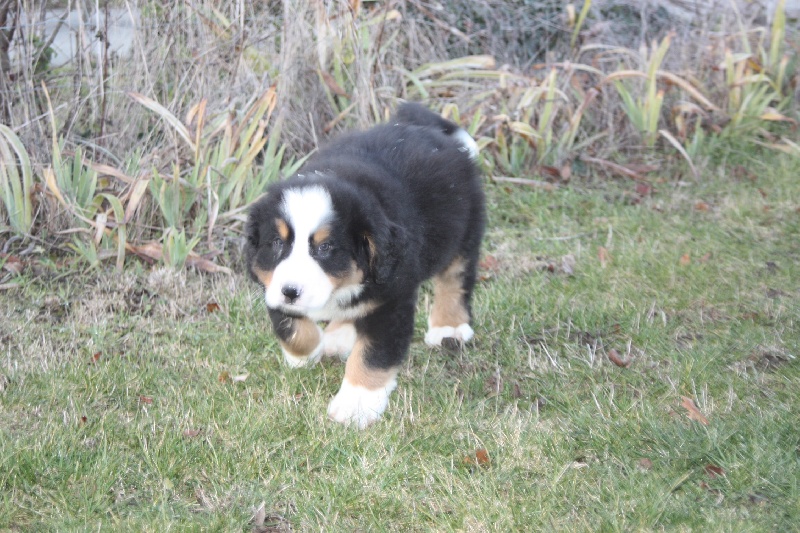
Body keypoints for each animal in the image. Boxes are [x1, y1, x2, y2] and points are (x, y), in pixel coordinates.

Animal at [245, 103, 485, 428]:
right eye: (277, 243)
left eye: (325, 248)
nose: (291, 291)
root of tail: (421, 125)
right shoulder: (271, 284)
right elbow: (291, 328)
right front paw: (305, 354)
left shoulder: (392, 301)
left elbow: (372, 355)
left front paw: (356, 405)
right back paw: (338, 336)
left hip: (464, 232)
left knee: (456, 278)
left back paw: (449, 327)